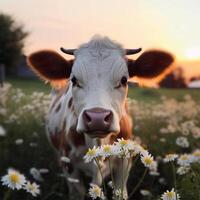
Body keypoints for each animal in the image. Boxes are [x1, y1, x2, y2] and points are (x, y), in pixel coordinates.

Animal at [27, 35, 173, 199]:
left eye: (124, 80)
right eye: (74, 80)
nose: (97, 118)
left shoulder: (124, 163)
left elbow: (120, 192)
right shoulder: (69, 165)